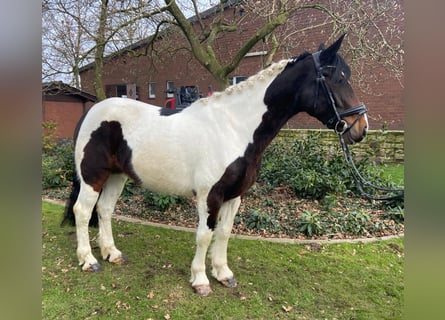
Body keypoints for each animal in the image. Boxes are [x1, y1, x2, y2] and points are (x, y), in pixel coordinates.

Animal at [62, 33, 368, 296]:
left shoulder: (234, 196)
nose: (361, 128)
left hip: (117, 175)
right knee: (82, 211)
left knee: (104, 210)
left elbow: (223, 233)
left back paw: (112, 253)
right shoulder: (210, 196)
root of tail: (93, 110)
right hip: (92, 176)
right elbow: (204, 236)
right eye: (335, 78)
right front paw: (200, 280)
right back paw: (88, 260)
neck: (234, 128)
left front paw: (223, 274)